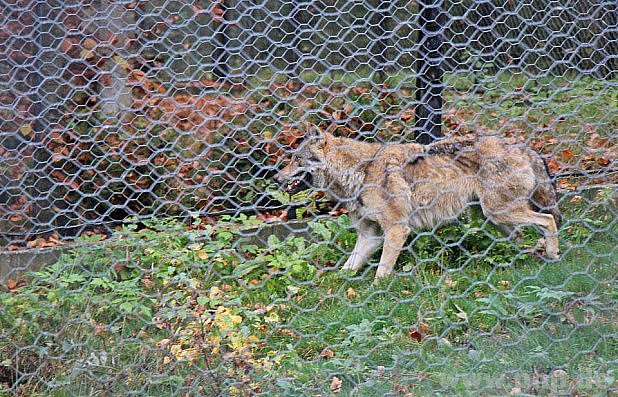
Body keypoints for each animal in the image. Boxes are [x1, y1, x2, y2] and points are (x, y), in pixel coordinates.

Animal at [274, 127, 560, 278]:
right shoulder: (370, 234)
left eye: (296, 159)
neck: (361, 171)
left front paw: (378, 293)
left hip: (499, 212)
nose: (276, 177)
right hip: (494, 217)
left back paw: (552, 254)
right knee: (523, 236)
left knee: (548, 220)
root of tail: (521, 145)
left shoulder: (397, 229)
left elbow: (382, 271)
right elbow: (347, 267)